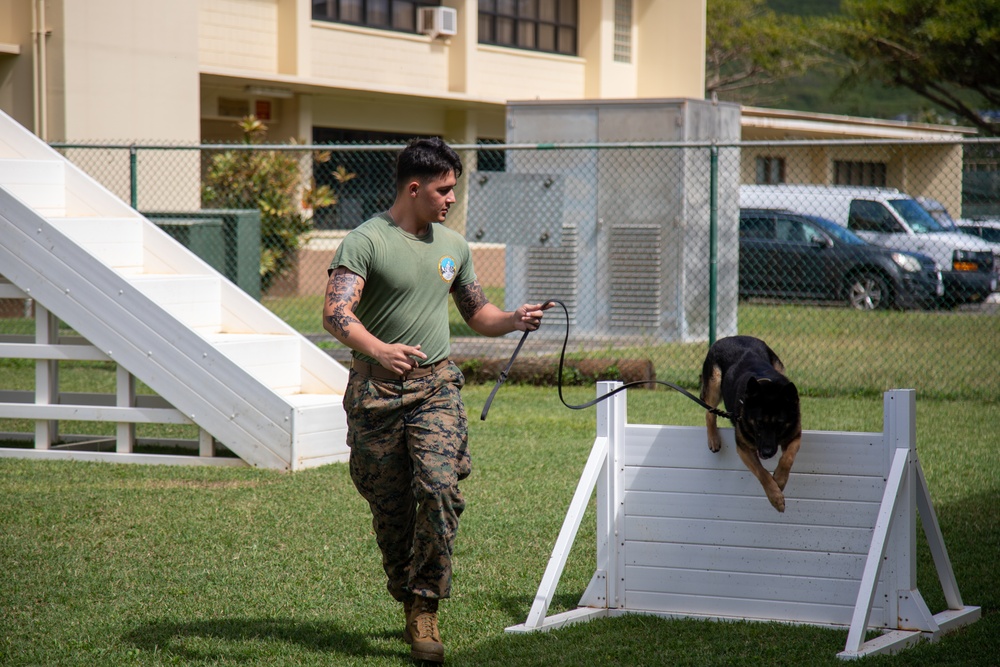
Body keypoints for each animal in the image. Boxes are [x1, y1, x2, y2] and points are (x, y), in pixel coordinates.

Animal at [700, 336, 800, 516]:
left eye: (780, 424)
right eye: (758, 423)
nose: (767, 453)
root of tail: (733, 337)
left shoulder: (795, 435)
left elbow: (787, 458)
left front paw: (780, 480)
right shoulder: (744, 449)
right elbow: (762, 473)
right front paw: (776, 498)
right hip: (714, 382)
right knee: (710, 412)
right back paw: (713, 439)